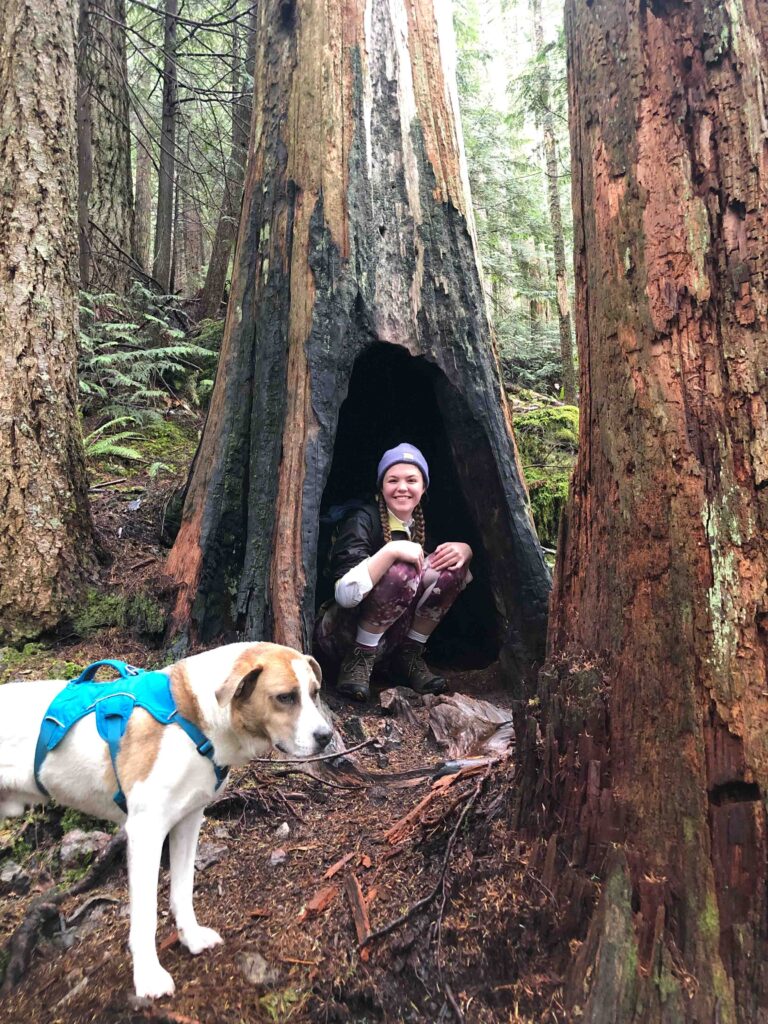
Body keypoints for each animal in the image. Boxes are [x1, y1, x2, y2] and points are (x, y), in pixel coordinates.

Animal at [0, 643, 333, 995]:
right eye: (285, 697)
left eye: (314, 693)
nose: (327, 736)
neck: (192, 718)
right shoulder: (145, 831)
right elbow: (145, 914)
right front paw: (148, 975)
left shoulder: (188, 820)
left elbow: (182, 890)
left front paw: (191, 937)